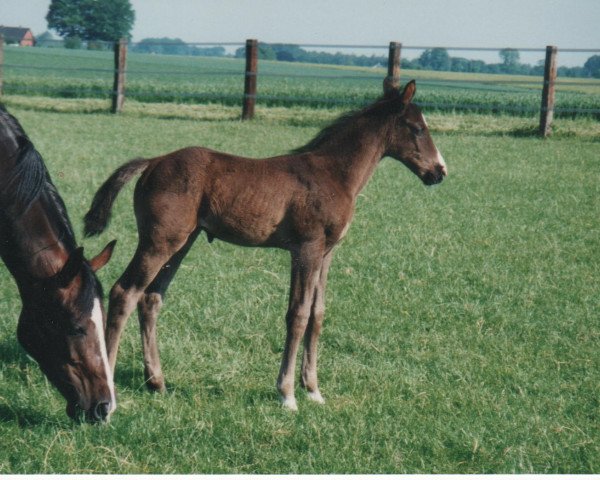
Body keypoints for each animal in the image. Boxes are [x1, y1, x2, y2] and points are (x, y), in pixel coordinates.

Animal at [83, 80, 446, 410]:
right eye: (417, 128)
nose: (439, 171)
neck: (333, 174)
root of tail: (152, 162)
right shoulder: (306, 249)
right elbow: (298, 313)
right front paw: (287, 394)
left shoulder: (327, 254)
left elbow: (318, 314)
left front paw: (313, 390)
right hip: (158, 241)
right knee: (125, 292)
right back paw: (112, 388)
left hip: (181, 243)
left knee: (151, 298)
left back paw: (157, 382)